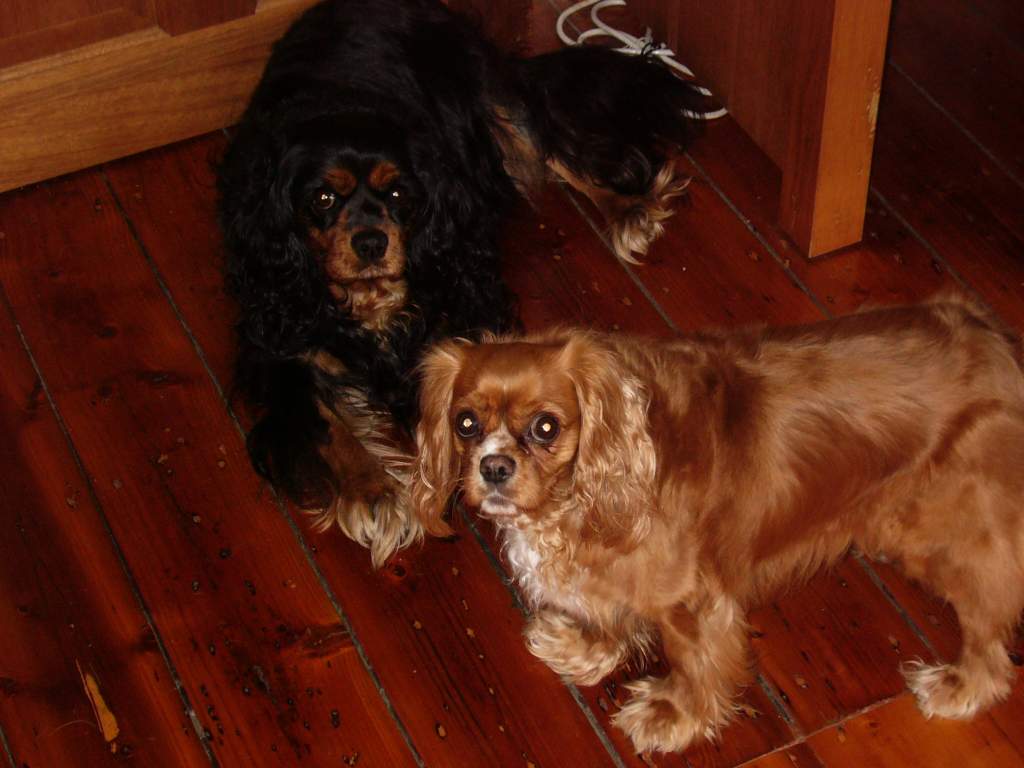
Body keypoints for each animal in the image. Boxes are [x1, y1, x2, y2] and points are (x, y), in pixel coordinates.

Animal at [407, 296, 1024, 753]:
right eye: (465, 424)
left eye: (545, 427)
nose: (493, 467)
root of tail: (992, 339)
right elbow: (607, 613)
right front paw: (582, 647)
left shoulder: (694, 602)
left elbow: (692, 663)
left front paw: (671, 716)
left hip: (954, 541)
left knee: (990, 634)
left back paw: (960, 685)